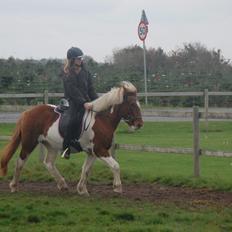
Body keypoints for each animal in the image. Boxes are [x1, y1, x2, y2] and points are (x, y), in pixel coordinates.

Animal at [0, 81, 143, 194]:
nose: (139, 124)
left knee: (49, 163)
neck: (102, 120)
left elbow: (86, 170)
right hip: (29, 143)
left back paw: (63, 185)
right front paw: (117, 187)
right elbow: (115, 165)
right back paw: (14, 186)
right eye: (132, 104)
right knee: (20, 162)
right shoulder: (100, 150)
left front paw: (82, 190)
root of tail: (27, 112)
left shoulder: (92, 153)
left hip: (51, 146)